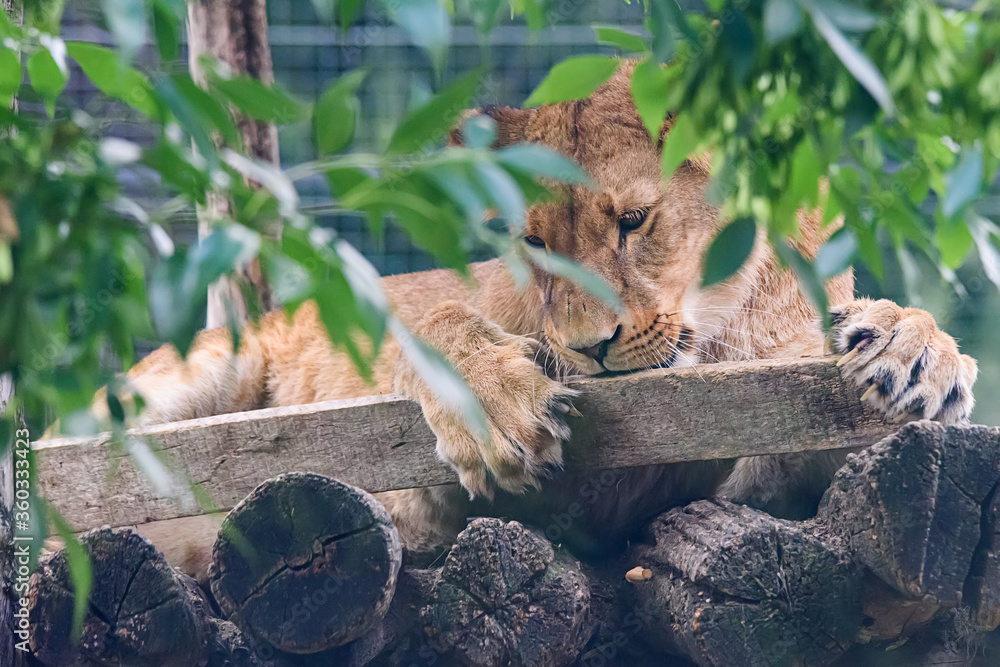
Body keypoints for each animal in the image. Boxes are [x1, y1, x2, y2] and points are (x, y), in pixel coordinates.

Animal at [93, 62, 978, 570]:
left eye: (633, 222)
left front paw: (915, 349)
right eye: (535, 242)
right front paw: (499, 412)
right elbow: (440, 320)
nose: (591, 348)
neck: (729, 323)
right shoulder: (412, 502)